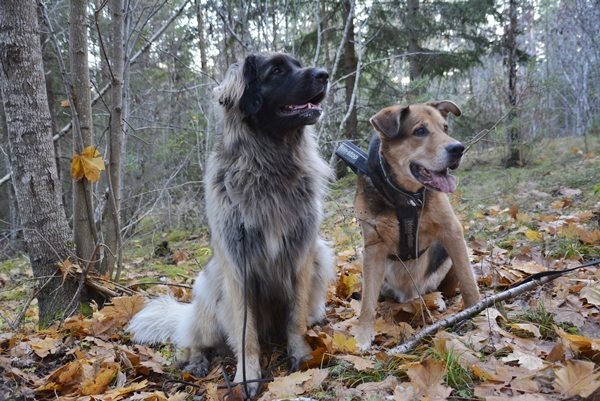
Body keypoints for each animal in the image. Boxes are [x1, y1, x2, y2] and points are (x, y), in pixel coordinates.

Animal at [354, 101, 480, 350]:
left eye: (445, 128)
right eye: (420, 131)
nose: (458, 149)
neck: (406, 197)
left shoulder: (452, 231)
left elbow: (469, 283)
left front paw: (479, 312)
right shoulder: (372, 248)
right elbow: (367, 302)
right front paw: (363, 336)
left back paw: (437, 300)